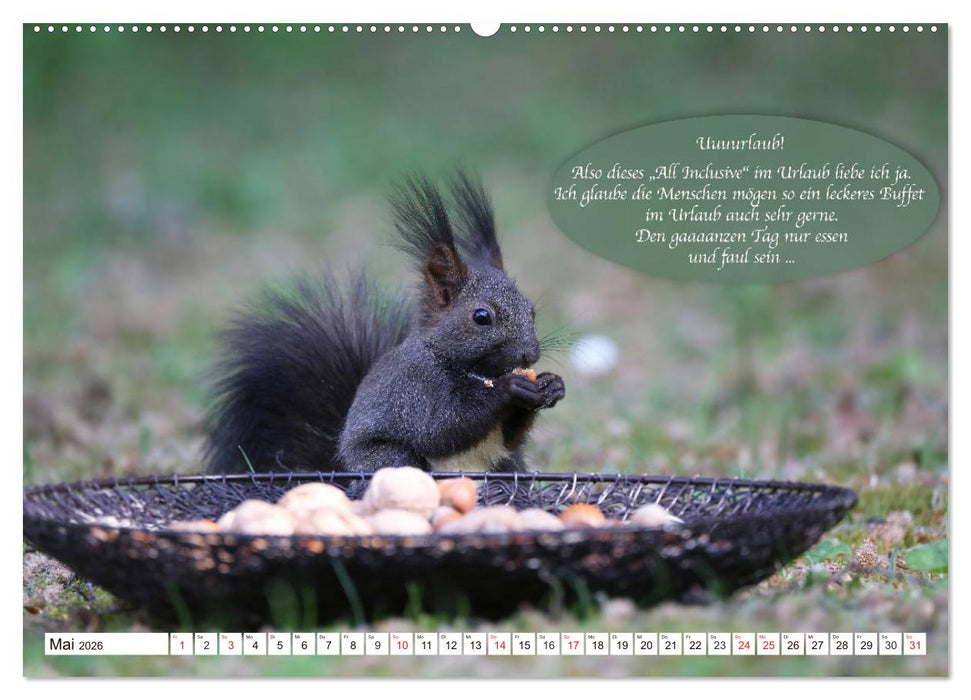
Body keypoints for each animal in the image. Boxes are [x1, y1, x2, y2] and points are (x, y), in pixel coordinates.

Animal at [205, 173, 566, 474]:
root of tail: (341, 470)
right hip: (388, 457)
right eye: (481, 317)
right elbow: (439, 428)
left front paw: (551, 385)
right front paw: (510, 388)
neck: (475, 371)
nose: (530, 354)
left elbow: (510, 436)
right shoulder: (415, 387)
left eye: (531, 310)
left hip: (508, 465)